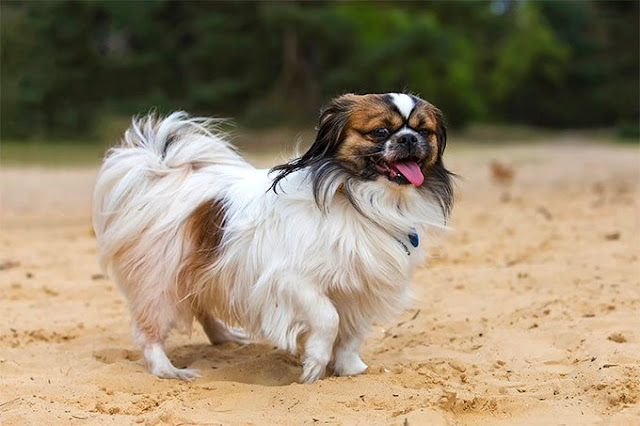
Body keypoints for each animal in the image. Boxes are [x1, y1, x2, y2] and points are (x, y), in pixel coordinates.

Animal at [94, 92, 456, 382]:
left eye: (424, 131)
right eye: (380, 131)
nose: (408, 139)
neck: (359, 200)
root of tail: (162, 171)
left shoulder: (362, 287)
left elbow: (352, 333)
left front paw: (351, 369)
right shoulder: (292, 280)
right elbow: (328, 319)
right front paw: (314, 365)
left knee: (201, 305)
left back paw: (225, 338)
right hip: (160, 281)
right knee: (150, 332)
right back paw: (167, 370)